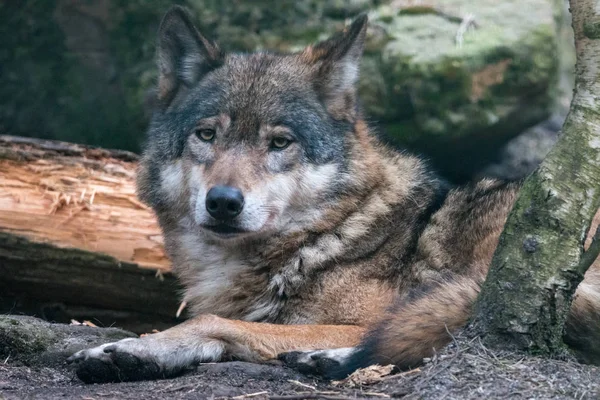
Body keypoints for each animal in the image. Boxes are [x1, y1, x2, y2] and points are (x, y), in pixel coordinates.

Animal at [67, 5, 600, 382]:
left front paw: (134, 347)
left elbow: (217, 322)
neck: (331, 234)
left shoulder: (367, 314)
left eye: (280, 142)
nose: (223, 202)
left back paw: (327, 355)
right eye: (207, 135)